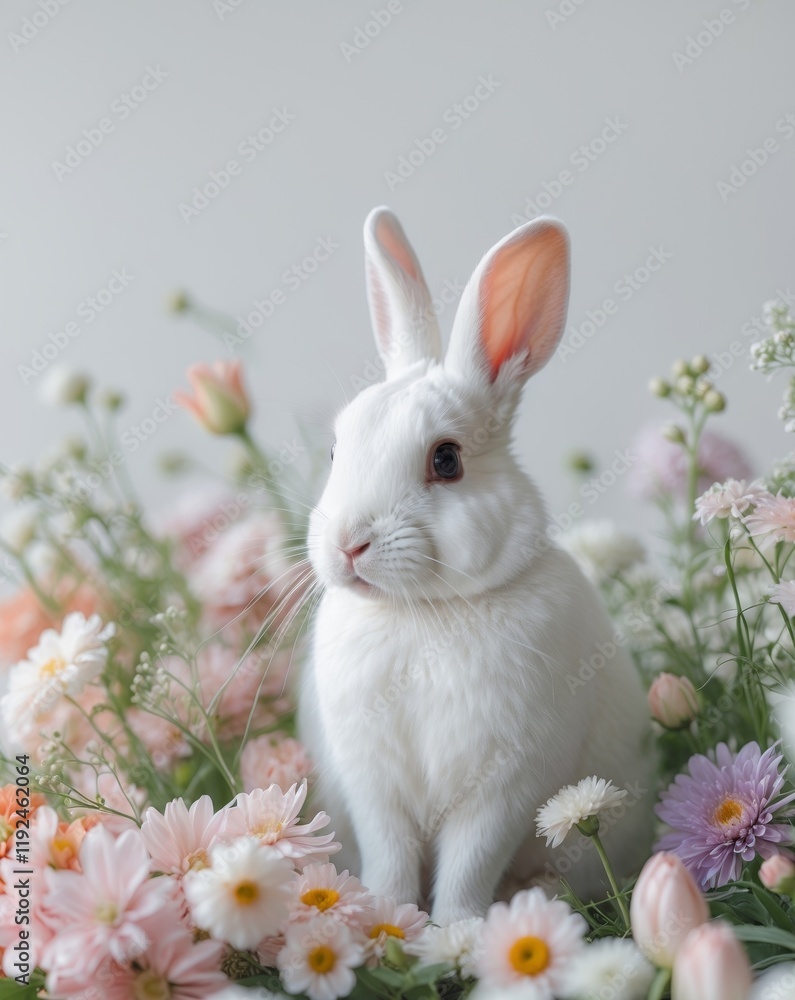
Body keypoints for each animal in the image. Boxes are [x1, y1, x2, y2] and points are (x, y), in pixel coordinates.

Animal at [299, 206, 654, 925]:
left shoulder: (505, 788)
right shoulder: (374, 787)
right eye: (336, 449)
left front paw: (454, 928)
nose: (348, 544)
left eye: (446, 460)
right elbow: (391, 859)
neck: (423, 612)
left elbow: (469, 863)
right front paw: (386, 917)